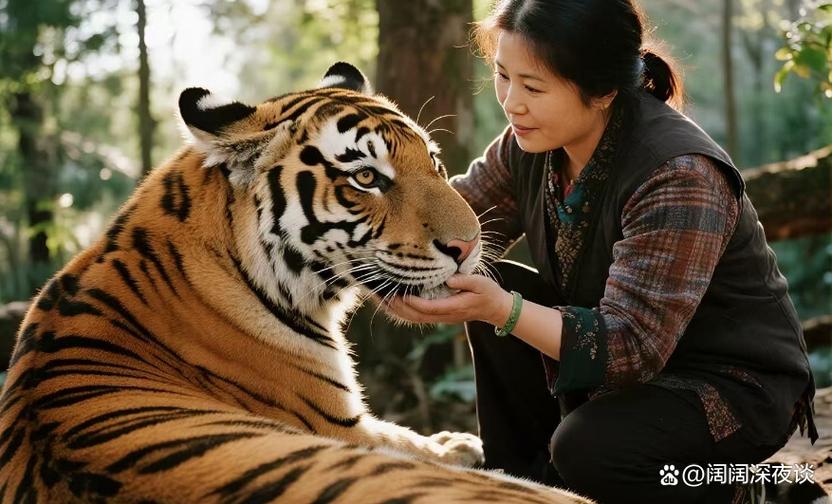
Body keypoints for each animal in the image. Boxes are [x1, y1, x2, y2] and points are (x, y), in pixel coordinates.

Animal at [0, 61, 592, 503]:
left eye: (435, 162)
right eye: (366, 177)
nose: (468, 247)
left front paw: (456, 441)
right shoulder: (344, 425)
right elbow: (402, 436)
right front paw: (457, 444)